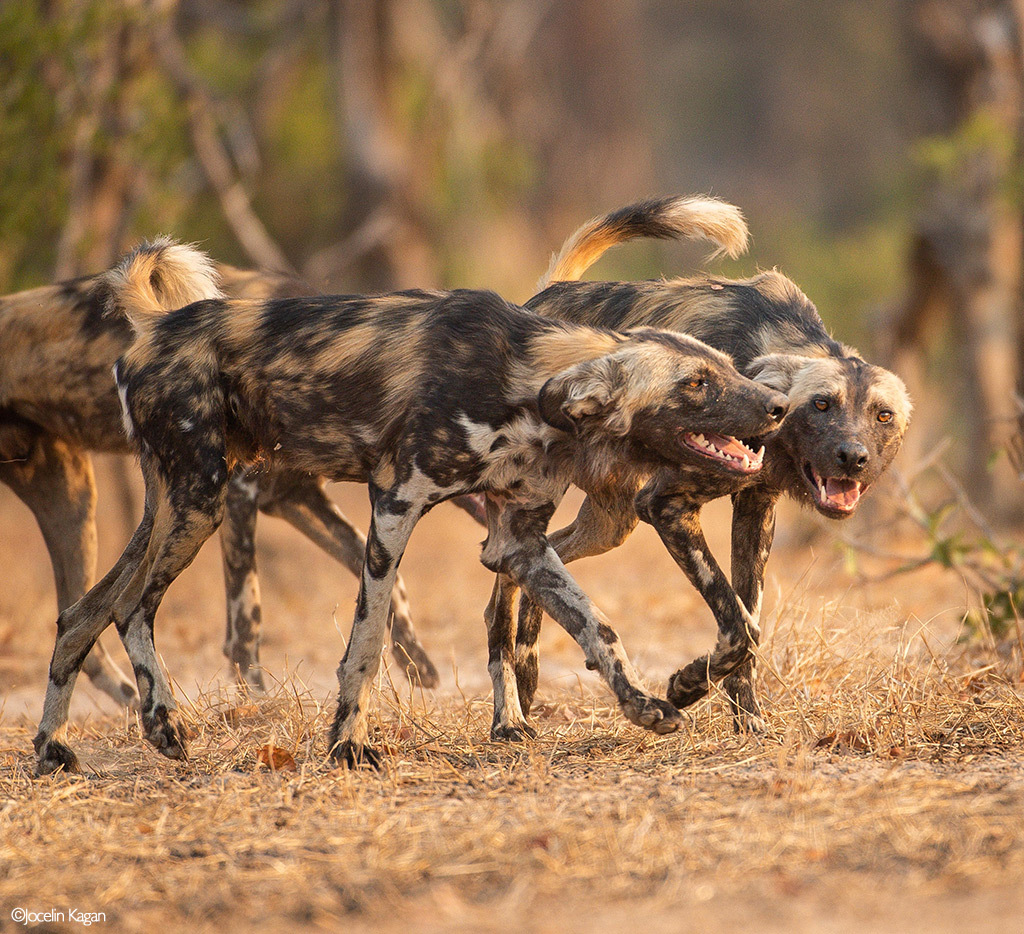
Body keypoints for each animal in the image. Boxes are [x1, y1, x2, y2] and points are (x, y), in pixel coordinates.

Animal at [0, 251, 442, 704]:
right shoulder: (240, 496)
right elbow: (247, 619)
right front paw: (257, 700)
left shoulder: (297, 499)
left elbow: (384, 577)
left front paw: (414, 661)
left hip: (74, 503)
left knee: (79, 618)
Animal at [487, 195, 913, 737]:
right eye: (821, 405)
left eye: (883, 416)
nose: (852, 457)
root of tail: (542, 300)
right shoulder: (666, 506)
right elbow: (740, 623)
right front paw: (686, 687)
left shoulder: (755, 509)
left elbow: (749, 619)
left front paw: (747, 719)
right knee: (504, 586)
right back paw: (509, 714)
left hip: (611, 522)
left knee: (547, 562)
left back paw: (528, 666)